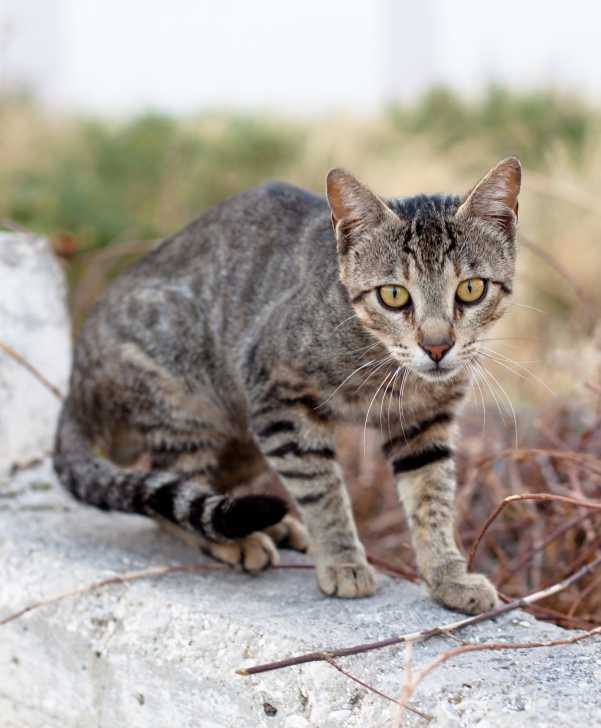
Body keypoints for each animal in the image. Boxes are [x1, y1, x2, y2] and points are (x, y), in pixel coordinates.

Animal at [54, 158, 516, 616]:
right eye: (393, 295)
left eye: (471, 289)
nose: (437, 346)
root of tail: (75, 387)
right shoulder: (281, 402)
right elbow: (322, 491)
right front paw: (344, 561)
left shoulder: (425, 425)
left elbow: (432, 500)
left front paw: (448, 576)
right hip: (184, 406)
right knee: (170, 493)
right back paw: (237, 539)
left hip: (242, 443)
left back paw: (267, 526)